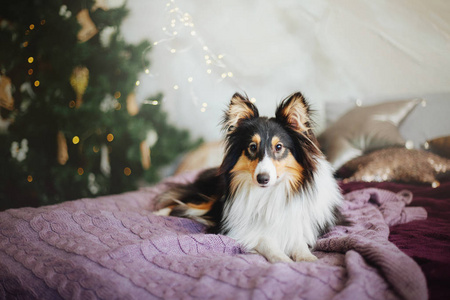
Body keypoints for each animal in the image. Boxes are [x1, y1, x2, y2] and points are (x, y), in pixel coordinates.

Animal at [155, 92, 344, 262]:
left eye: (279, 147)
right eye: (252, 147)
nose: (262, 179)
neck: (269, 193)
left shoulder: (299, 225)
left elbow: (299, 243)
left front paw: (308, 259)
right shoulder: (239, 229)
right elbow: (266, 241)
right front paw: (283, 260)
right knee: (181, 202)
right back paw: (159, 212)